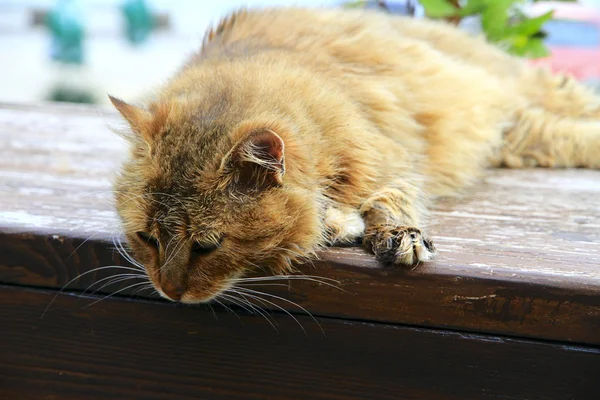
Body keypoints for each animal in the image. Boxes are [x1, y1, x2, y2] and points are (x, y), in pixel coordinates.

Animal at [109, 7, 600, 304]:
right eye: (147, 238)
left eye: (207, 246)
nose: (169, 292)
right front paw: (337, 224)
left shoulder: (392, 159)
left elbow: (388, 200)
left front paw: (395, 235)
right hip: (522, 138)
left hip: (520, 104)